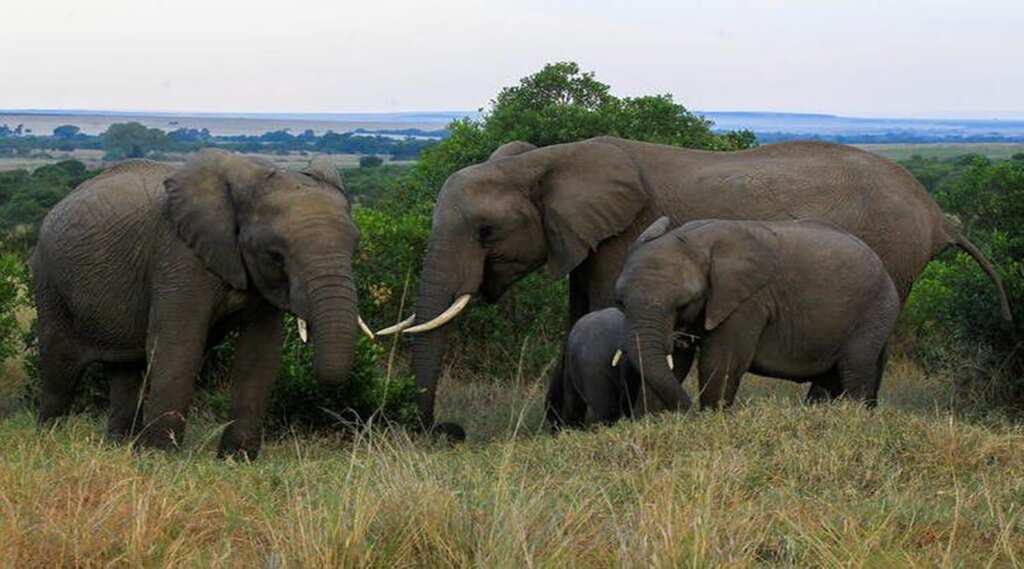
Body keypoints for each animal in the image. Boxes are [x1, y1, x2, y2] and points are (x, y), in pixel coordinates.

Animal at [31, 150, 373, 458]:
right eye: (276, 254)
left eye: (354, 245)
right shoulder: (179, 253)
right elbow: (179, 344)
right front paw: (159, 457)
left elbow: (259, 353)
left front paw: (237, 460)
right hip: (49, 281)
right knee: (60, 367)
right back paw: (49, 440)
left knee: (124, 370)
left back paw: (118, 447)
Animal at [614, 217, 900, 412]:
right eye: (620, 303)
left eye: (683, 302)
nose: (689, 412)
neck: (695, 239)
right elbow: (676, 362)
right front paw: (651, 420)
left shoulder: (748, 302)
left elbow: (721, 362)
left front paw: (711, 419)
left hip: (875, 310)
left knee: (855, 368)